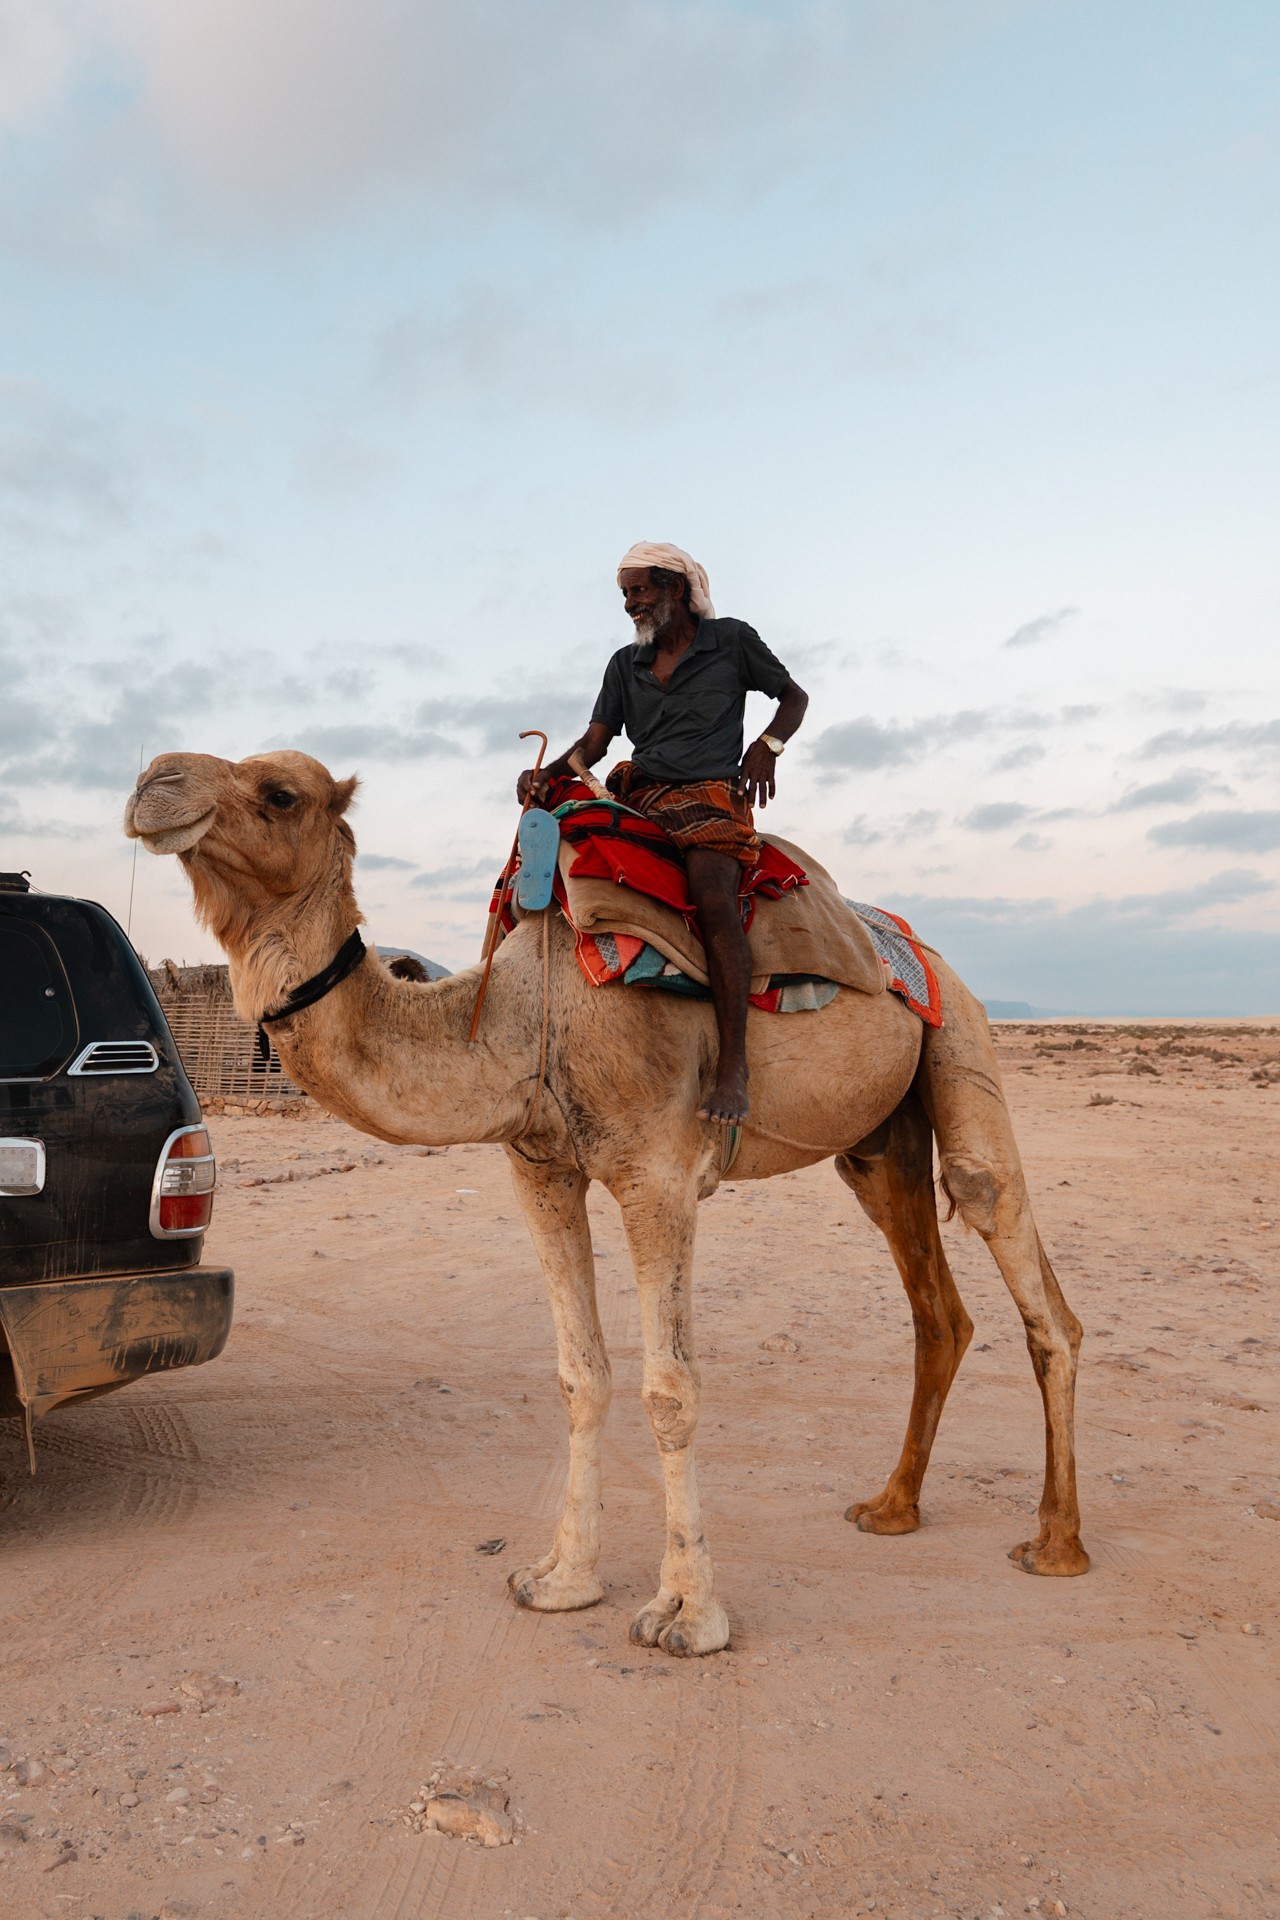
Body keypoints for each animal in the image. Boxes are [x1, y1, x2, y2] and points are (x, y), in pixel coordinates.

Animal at [124, 748, 1088, 1656]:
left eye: (280, 794)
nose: (152, 782)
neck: (526, 1016)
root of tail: (921, 952)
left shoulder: (657, 1173)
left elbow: (672, 1389)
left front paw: (688, 1615)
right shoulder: (540, 1169)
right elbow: (580, 1375)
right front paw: (560, 1578)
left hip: (960, 1039)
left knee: (1024, 1263)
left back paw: (1056, 1544)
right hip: (878, 1143)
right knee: (938, 1308)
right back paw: (891, 1507)